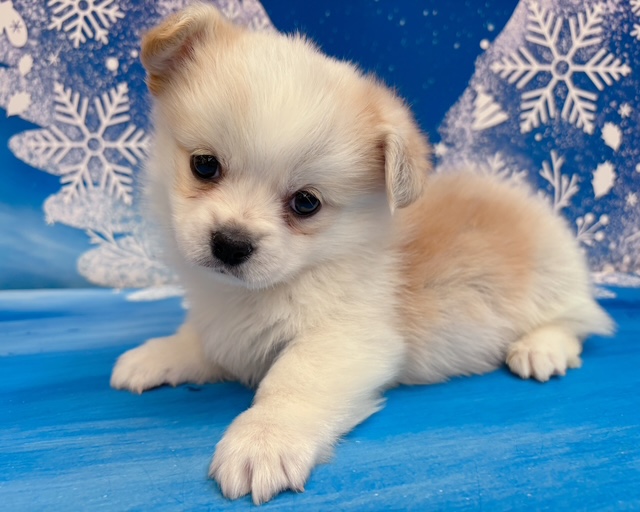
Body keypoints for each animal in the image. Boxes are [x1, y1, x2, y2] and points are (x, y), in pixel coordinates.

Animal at [110, 3, 614, 504]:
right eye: (204, 165)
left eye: (306, 203)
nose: (231, 243)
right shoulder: (222, 328)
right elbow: (199, 340)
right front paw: (158, 355)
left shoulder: (345, 340)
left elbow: (294, 381)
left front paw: (263, 440)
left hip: (550, 282)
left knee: (580, 321)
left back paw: (540, 347)